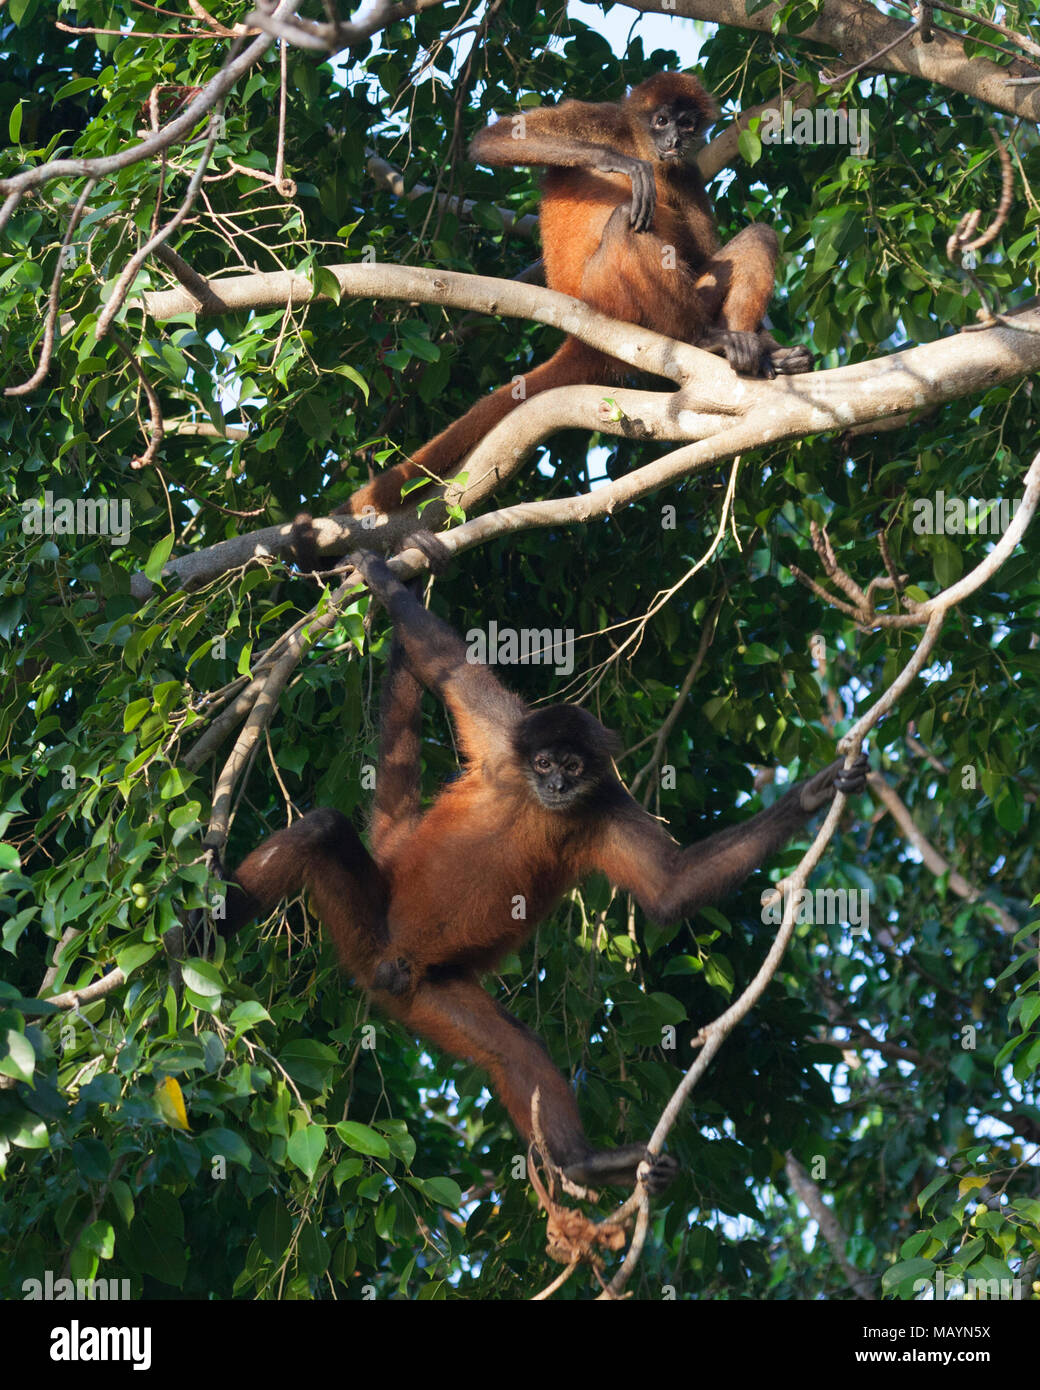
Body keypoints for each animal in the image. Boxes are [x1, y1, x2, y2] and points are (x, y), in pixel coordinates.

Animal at [217, 549, 867, 1192]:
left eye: (574, 767)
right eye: (547, 762)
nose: (556, 785)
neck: (537, 802)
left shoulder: (601, 805)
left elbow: (670, 888)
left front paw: (812, 795)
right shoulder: (508, 740)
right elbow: (447, 667)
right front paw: (380, 573)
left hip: (427, 988)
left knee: (517, 1051)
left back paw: (584, 1163)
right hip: (366, 929)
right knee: (323, 830)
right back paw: (201, 930)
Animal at [343, 71, 811, 517]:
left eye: (687, 124)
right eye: (661, 120)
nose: (674, 141)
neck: (641, 143)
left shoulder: (686, 171)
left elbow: (703, 253)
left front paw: (772, 348)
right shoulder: (602, 120)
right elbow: (493, 140)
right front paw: (617, 162)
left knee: (758, 235)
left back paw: (744, 351)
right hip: (606, 293)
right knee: (626, 221)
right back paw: (701, 338)